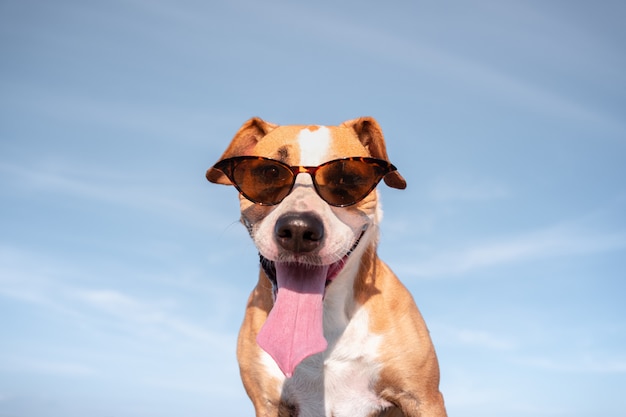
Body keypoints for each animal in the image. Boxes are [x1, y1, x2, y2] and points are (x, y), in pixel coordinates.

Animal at [207, 117, 446, 416]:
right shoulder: (267, 404)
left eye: (345, 178)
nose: (298, 229)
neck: (324, 318)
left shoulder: (423, 398)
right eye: (268, 173)